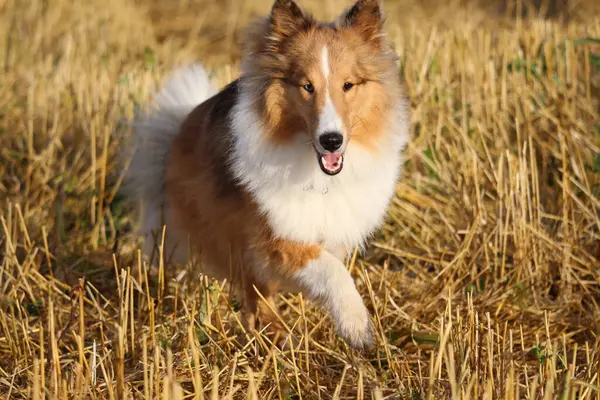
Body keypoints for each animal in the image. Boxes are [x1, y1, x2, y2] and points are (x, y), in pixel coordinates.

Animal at [124, 0, 410, 350]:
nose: (331, 140)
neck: (315, 170)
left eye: (348, 85)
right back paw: (275, 334)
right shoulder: (276, 235)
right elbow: (332, 271)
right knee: (252, 289)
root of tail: (177, 130)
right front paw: (356, 325)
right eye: (307, 86)